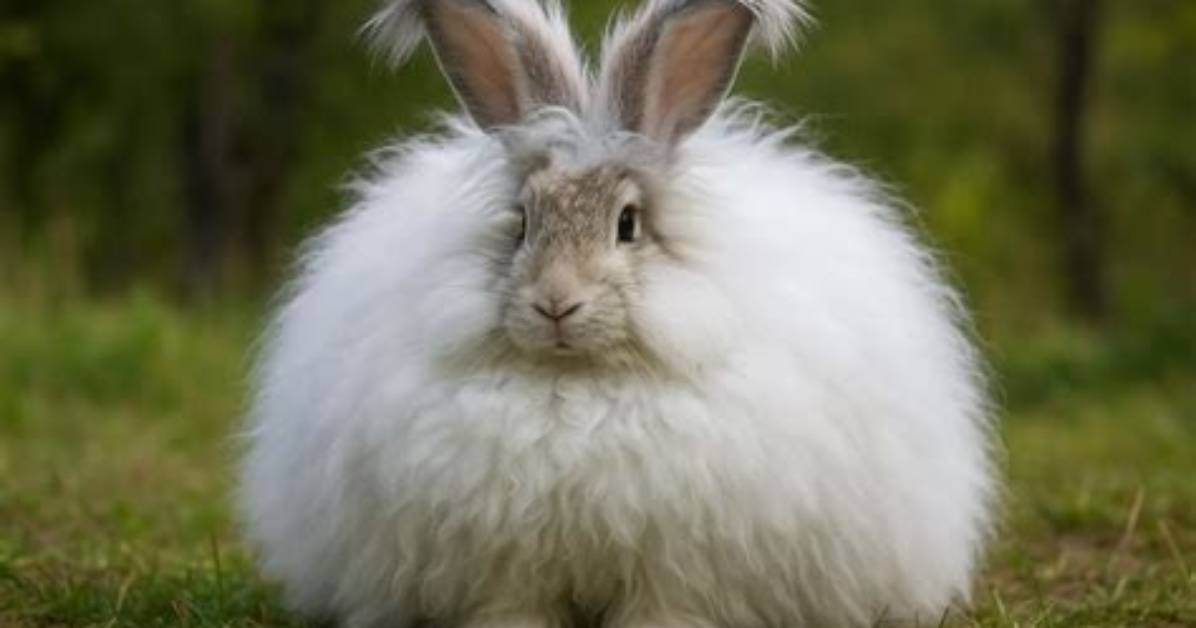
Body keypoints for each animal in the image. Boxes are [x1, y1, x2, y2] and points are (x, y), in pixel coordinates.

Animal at [238, 0, 997, 626]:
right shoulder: (507, 566)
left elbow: (662, 607)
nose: (555, 302)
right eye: (521, 224)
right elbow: (513, 609)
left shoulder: (677, 562)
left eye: (627, 225)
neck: (578, 385)